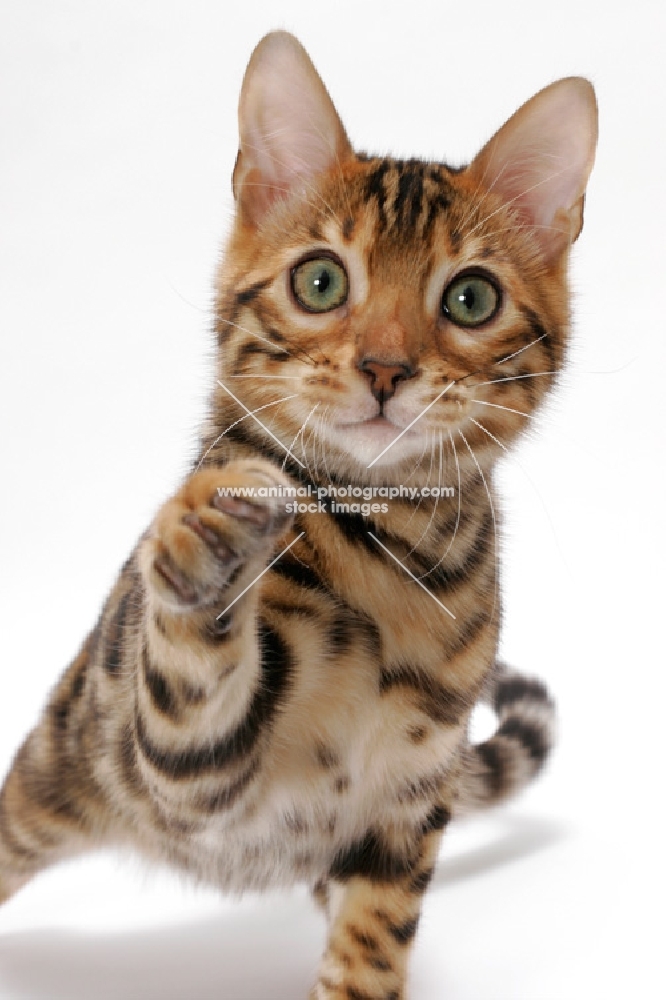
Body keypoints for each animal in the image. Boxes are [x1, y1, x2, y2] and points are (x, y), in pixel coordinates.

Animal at [0, 31, 596, 1000]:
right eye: (320, 282)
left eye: (470, 299)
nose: (387, 369)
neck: (396, 552)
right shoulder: (181, 771)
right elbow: (190, 675)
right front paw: (206, 536)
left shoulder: (403, 815)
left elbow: (370, 950)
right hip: (61, 769)